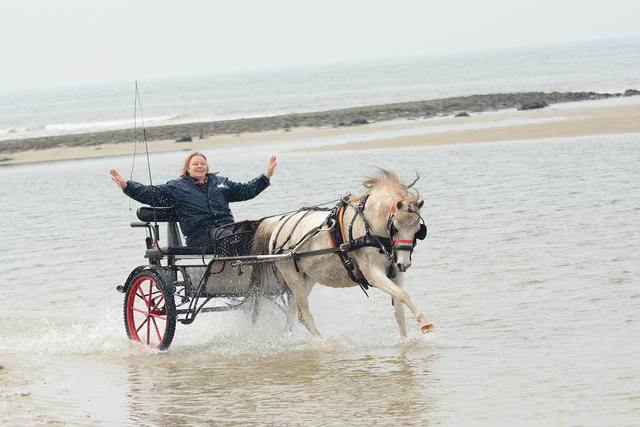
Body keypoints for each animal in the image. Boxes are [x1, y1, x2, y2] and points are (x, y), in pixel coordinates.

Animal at [252, 169, 438, 340]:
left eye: (418, 230)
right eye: (396, 228)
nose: (404, 264)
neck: (370, 226)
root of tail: (279, 222)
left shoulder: (396, 274)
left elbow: (399, 310)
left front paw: (405, 340)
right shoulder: (373, 274)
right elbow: (403, 295)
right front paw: (425, 322)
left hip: (307, 278)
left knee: (294, 312)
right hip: (292, 276)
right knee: (304, 314)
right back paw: (322, 341)